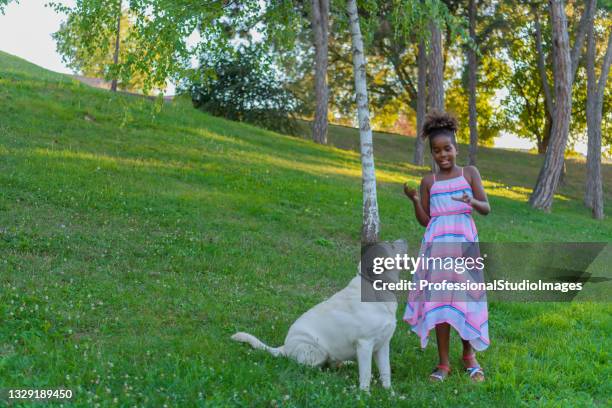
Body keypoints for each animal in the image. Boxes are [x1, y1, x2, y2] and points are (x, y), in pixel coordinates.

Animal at [230, 239, 406, 392]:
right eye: (391, 245)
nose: (403, 240)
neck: (376, 285)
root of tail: (285, 347)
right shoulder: (365, 344)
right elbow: (366, 374)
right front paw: (365, 394)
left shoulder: (383, 344)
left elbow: (386, 372)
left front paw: (390, 394)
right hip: (317, 351)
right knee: (310, 365)